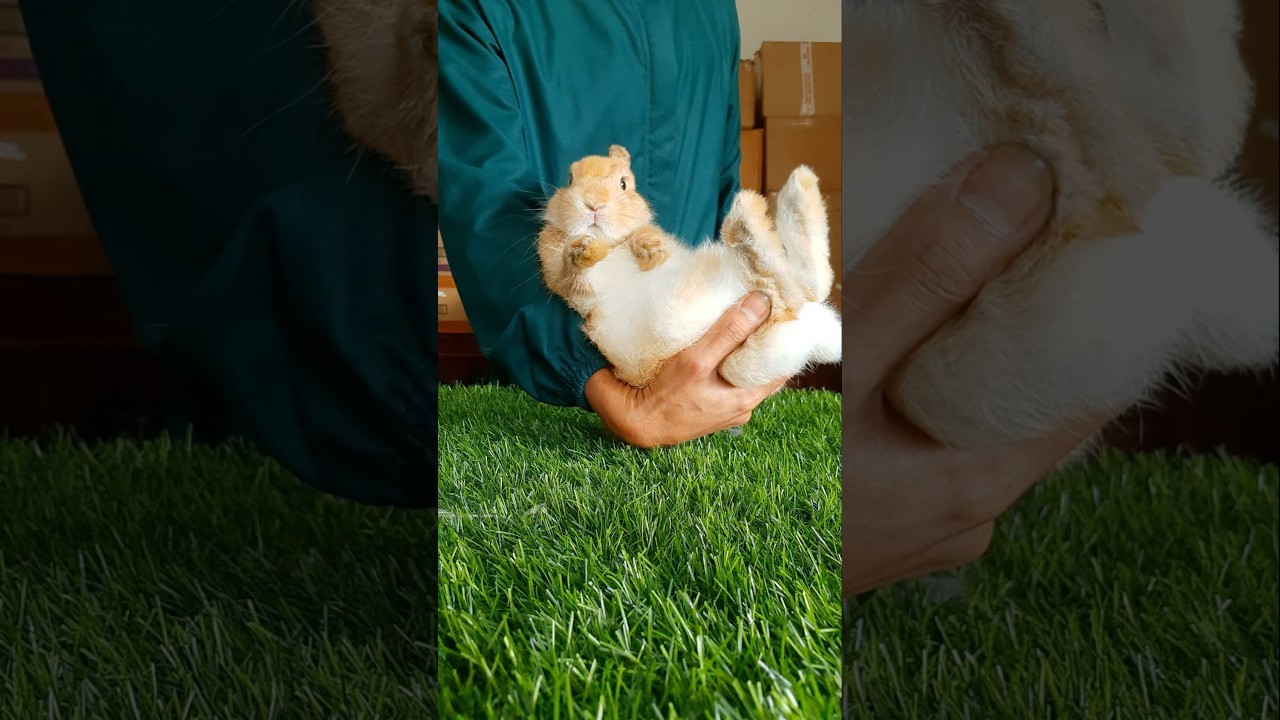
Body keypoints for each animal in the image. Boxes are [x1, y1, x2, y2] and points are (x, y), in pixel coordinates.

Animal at [537, 145, 843, 389]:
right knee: (794, 287)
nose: (594, 204)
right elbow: (574, 272)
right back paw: (767, 206)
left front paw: (646, 248)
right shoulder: (573, 284)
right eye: (570, 179)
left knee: (797, 285)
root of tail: (819, 329)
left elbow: (644, 237)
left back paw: (775, 197)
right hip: (748, 356)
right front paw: (586, 249)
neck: (613, 244)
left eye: (623, 184)